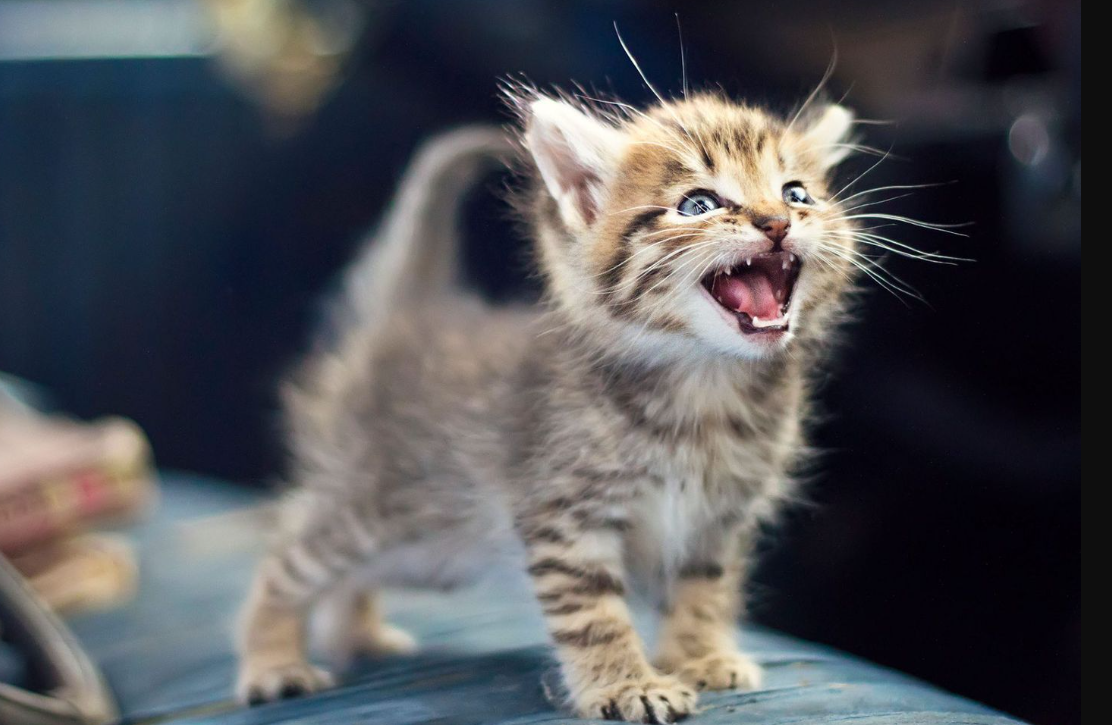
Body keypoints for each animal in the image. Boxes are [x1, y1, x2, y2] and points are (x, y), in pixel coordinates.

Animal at [234, 83, 858, 720]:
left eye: (797, 193)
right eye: (699, 204)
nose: (777, 221)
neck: (702, 388)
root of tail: (403, 321)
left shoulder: (717, 521)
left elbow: (704, 592)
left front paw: (702, 657)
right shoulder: (566, 518)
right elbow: (594, 615)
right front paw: (628, 684)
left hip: (425, 552)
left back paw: (354, 634)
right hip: (372, 510)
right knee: (287, 559)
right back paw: (273, 663)